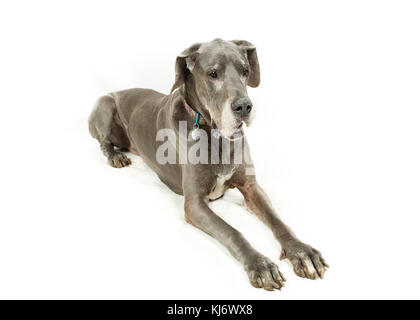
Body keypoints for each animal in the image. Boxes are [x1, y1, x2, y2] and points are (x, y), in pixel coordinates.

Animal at [88, 37, 328, 290]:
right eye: (213, 73)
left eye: (245, 70)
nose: (244, 106)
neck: (215, 134)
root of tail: (117, 90)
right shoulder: (194, 204)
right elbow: (232, 231)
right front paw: (260, 264)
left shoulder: (251, 187)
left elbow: (278, 220)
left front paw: (301, 251)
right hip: (104, 105)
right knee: (103, 141)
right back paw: (115, 156)